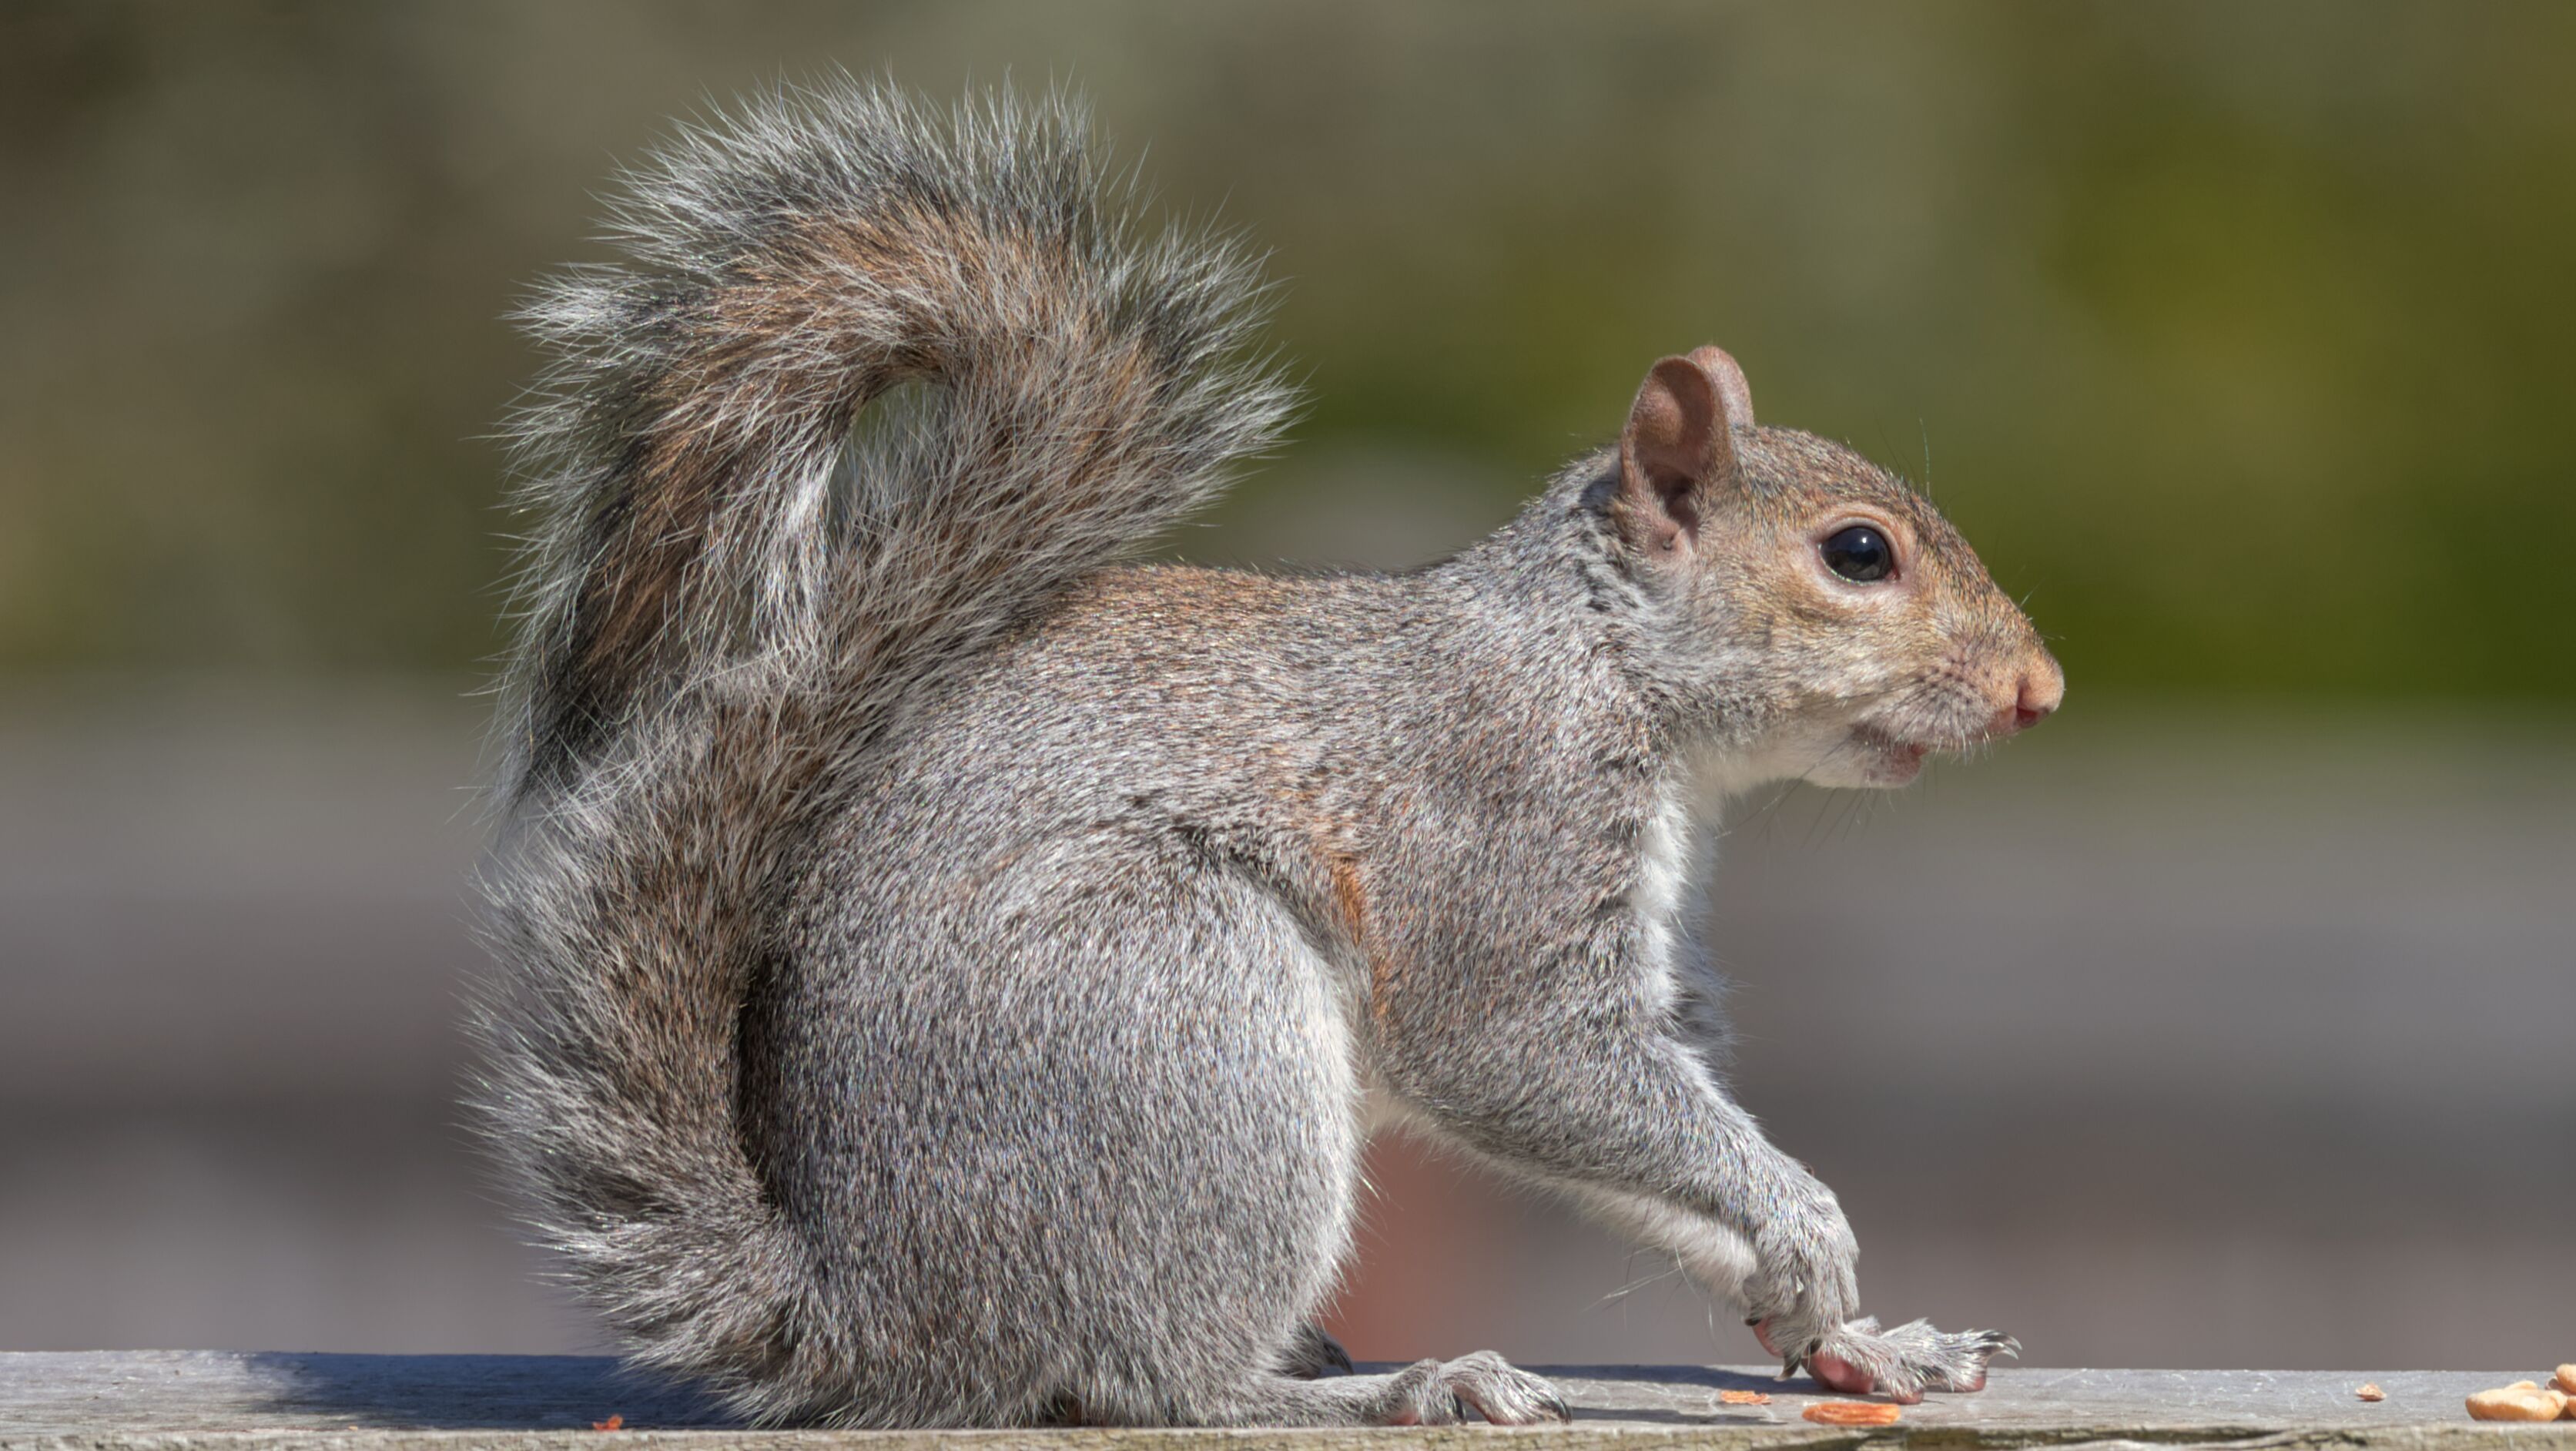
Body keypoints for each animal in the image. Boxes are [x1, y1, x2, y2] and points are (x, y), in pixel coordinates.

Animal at [471, 81, 2063, 1429]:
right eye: (1857, 553)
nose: (2038, 688)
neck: (1603, 664)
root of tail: (884, 1318)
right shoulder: (1500, 812)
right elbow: (1528, 1053)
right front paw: (1805, 1220)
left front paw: (1855, 1334)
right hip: (1180, 1008)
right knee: (1158, 1378)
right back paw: (1395, 1384)